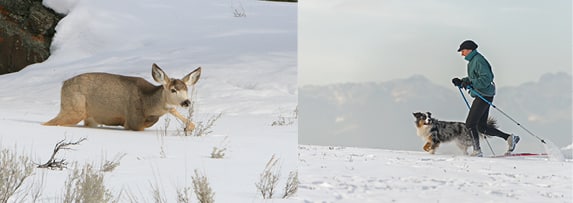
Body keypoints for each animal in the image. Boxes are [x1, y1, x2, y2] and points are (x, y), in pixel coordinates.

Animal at [42, 63, 200, 132]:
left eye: (186, 89)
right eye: (173, 90)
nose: (186, 102)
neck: (148, 104)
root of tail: (63, 84)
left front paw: (190, 126)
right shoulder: (133, 121)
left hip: (89, 117)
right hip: (74, 108)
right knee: (49, 123)